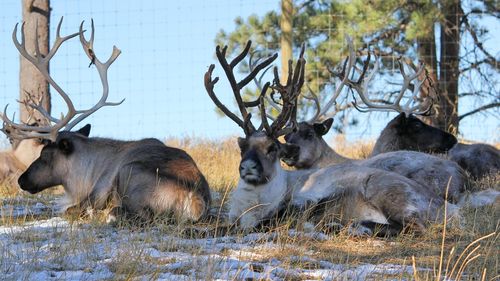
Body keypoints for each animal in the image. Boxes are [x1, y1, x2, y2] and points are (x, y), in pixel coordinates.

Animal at [0, 18, 211, 222]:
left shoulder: (97, 192)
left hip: (129, 173)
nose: (21, 180)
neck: (85, 174)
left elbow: (69, 209)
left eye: (45, 155)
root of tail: (194, 200)